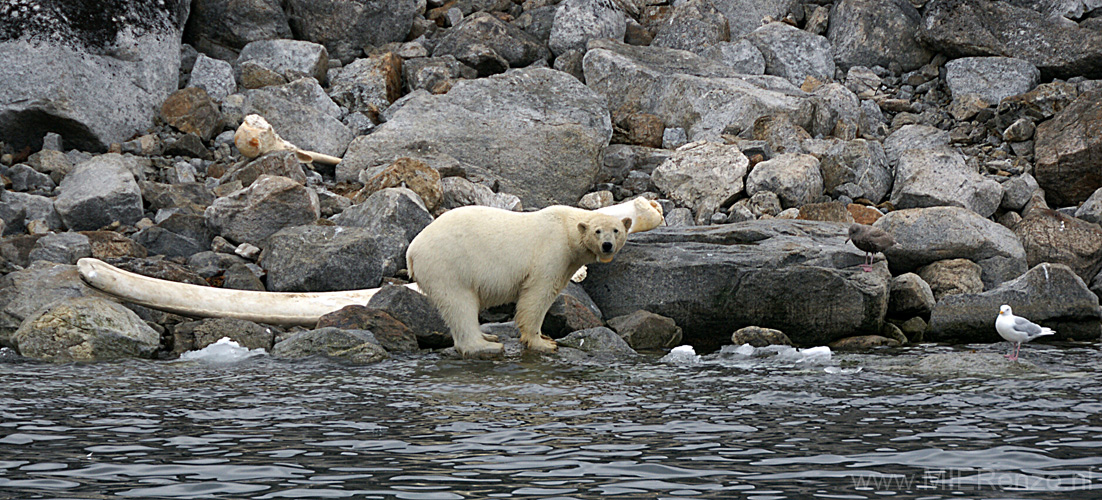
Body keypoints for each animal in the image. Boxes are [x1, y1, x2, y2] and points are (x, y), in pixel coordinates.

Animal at [407, 204, 634, 356]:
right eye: (597, 231)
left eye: (616, 230)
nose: (607, 245)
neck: (565, 225)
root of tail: (412, 250)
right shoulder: (553, 251)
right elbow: (538, 294)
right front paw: (543, 343)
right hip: (448, 266)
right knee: (459, 305)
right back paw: (486, 345)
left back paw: (488, 337)